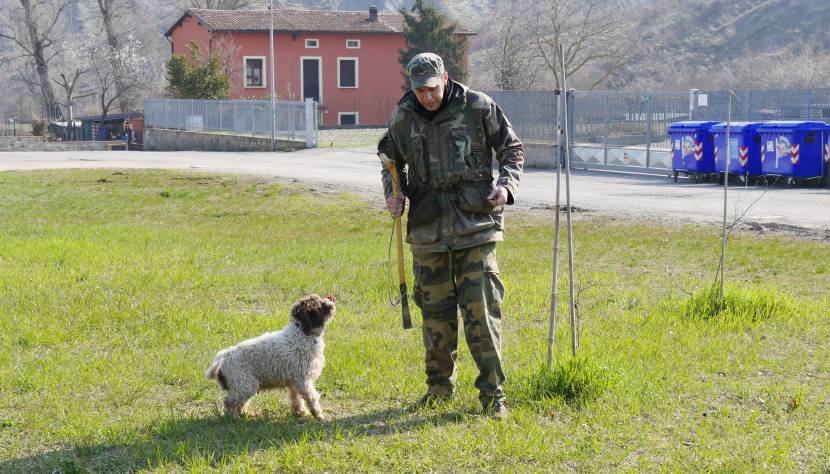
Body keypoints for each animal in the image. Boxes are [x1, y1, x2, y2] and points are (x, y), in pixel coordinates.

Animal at [206, 294, 336, 420]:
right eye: (319, 304)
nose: (331, 298)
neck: (303, 333)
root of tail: (222, 358)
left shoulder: (294, 382)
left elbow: (296, 399)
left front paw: (300, 412)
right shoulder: (303, 381)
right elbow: (311, 397)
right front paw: (318, 414)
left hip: (243, 385)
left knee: (240, 403)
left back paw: (244, 414)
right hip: (245, 384)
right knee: (229, 402)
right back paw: (234, 417)